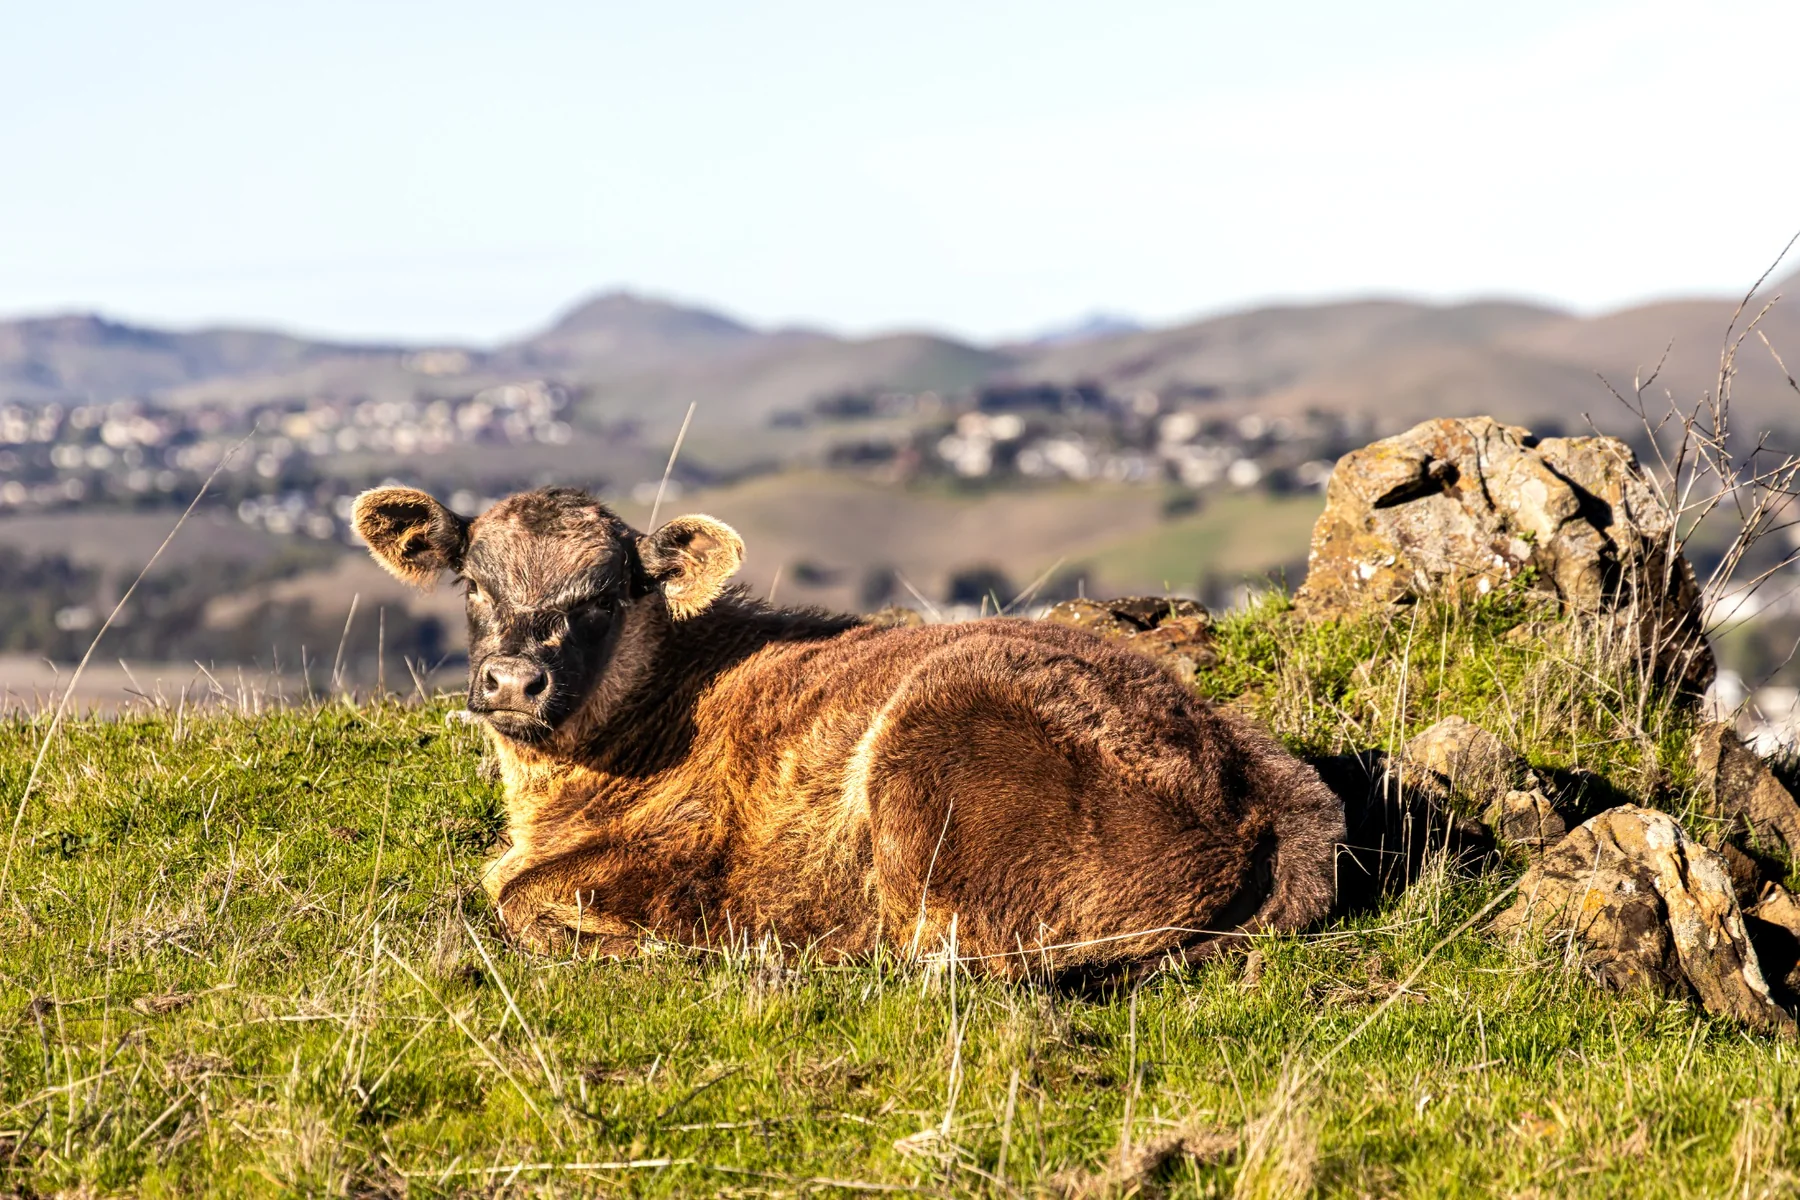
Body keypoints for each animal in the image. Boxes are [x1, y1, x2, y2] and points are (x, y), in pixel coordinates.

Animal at [353, 484, 1344, 977]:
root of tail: (1240, 757)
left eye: (603, 597)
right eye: (473, 584)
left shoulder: (689, 852)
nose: (514, 680)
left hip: (934, 756)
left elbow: (520, 900)